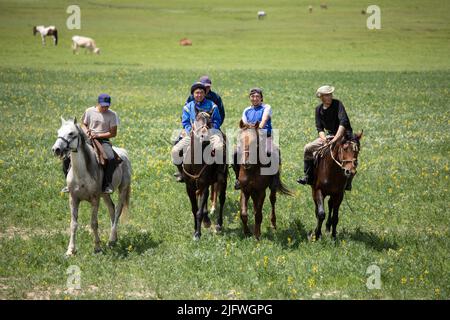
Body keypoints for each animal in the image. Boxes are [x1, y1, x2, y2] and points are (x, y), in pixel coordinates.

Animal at [52, 117, 132, 255]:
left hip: (123, 189)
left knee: (117, 212)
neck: (81, 174)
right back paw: (113, 240)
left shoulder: (95, 199)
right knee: (111, 208)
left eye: (71, 133)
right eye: (59, 131)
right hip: (105, 194)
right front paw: (70, 250)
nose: (56, 149)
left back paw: (111, 239)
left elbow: (94, 223)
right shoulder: (73, 199)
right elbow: (73, 224)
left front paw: (97, 248)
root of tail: (124, 153)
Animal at [181, 112, 227, 240]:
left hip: (223, 180)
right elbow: (195, 209)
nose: (203, 136)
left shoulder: (204, 185)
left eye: (210, 122)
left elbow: (199, 211)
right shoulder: (189, 187)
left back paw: (218, 225)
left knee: (221, 199)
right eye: (196, 120)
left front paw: (198, 233)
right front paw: (196, 228)